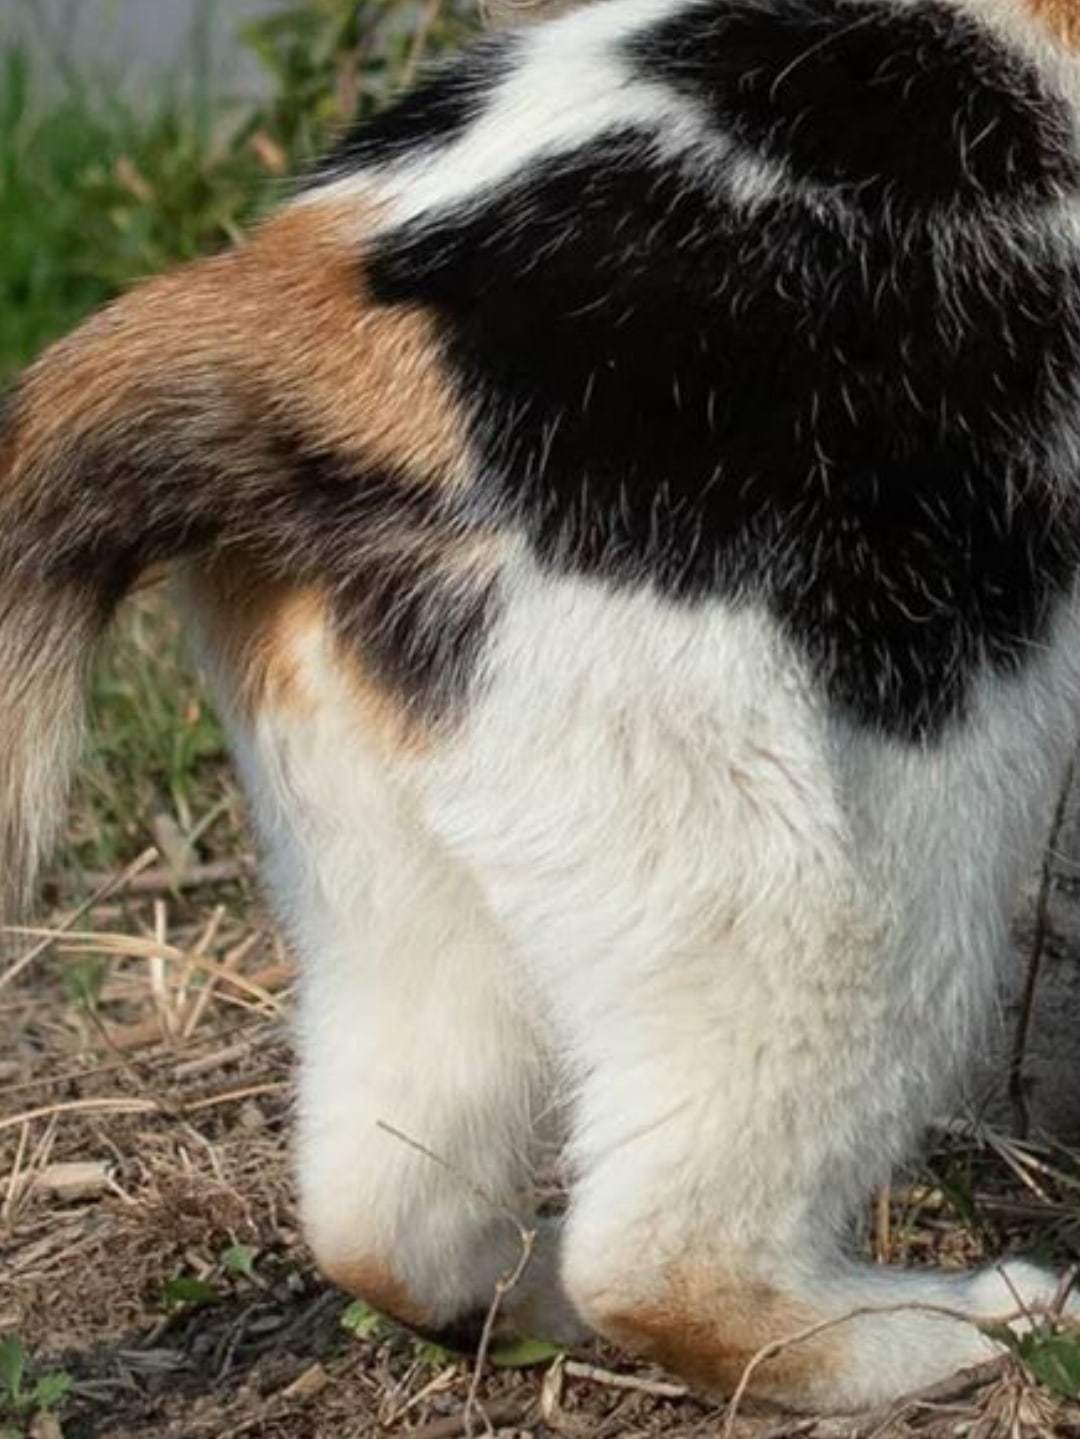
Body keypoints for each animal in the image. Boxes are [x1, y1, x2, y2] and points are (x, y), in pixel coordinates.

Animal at [2, 0, 1080, 1410]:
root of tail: (312, 299)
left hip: (405, 877)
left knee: (384, 1212)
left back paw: (528, 1295)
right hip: (839, 875)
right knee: (675, 1256)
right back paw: (971, 1328)